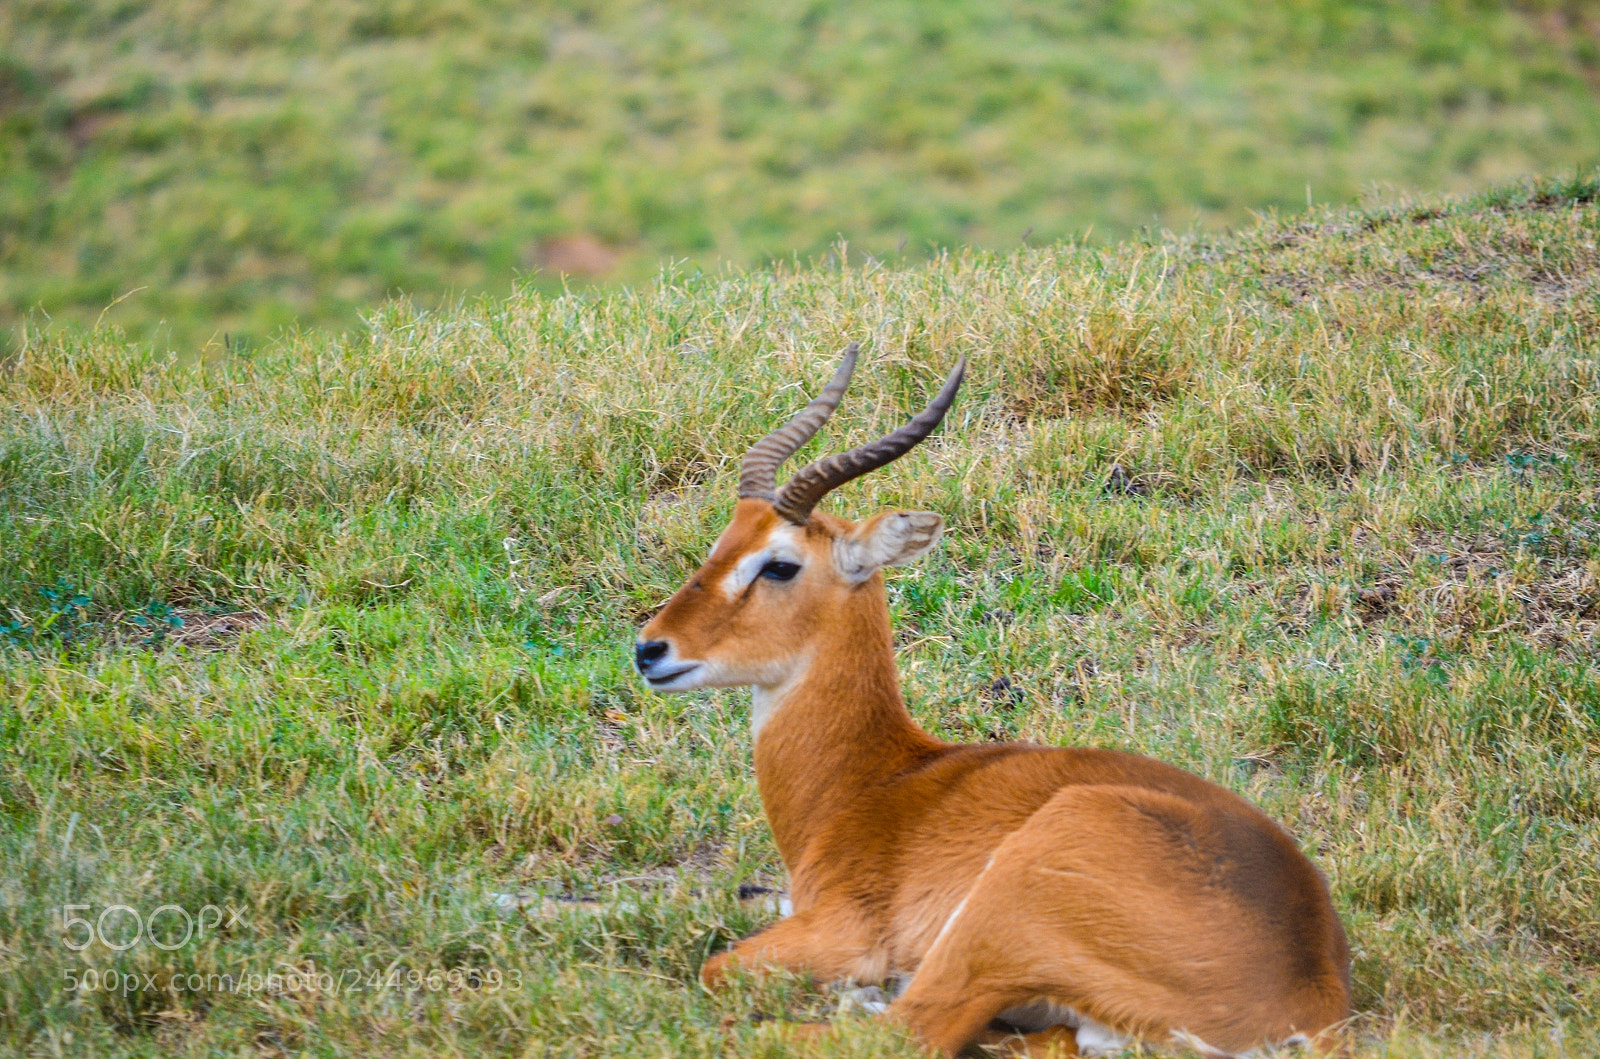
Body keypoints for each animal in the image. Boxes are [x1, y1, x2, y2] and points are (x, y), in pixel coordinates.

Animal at [634, 343, 1352, 1057]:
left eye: (779, 564)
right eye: (720, 546)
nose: (650, 649)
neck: (871, 783)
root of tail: (1310, 993)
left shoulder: (841, 930)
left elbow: (718, 968)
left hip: (1000, 912)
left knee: (906, 1031)